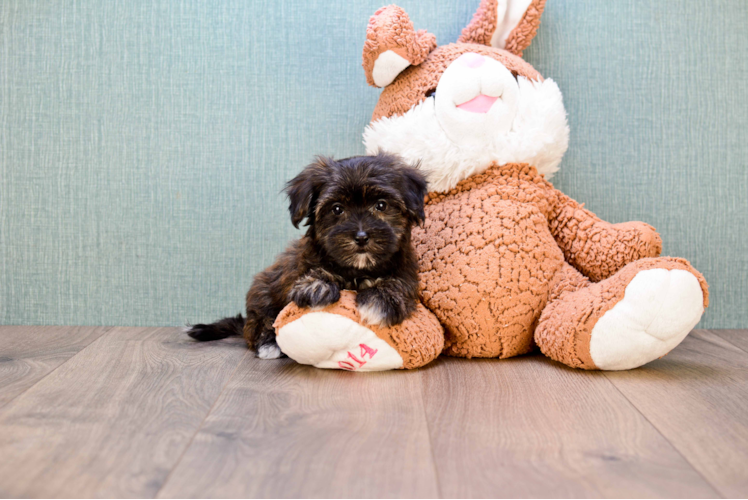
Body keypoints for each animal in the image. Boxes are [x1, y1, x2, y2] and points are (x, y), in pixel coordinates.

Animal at [187, 152, 430, 360]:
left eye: (381, 205)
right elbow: (313, 272)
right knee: (259, 322)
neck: (356, 269)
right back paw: (269, 344)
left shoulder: (406, 271)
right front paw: (316, 286)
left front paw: (381, 300)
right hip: (263, 290)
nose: (361, 237)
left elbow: (398, 283)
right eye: (337, 209)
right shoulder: (299, 268)